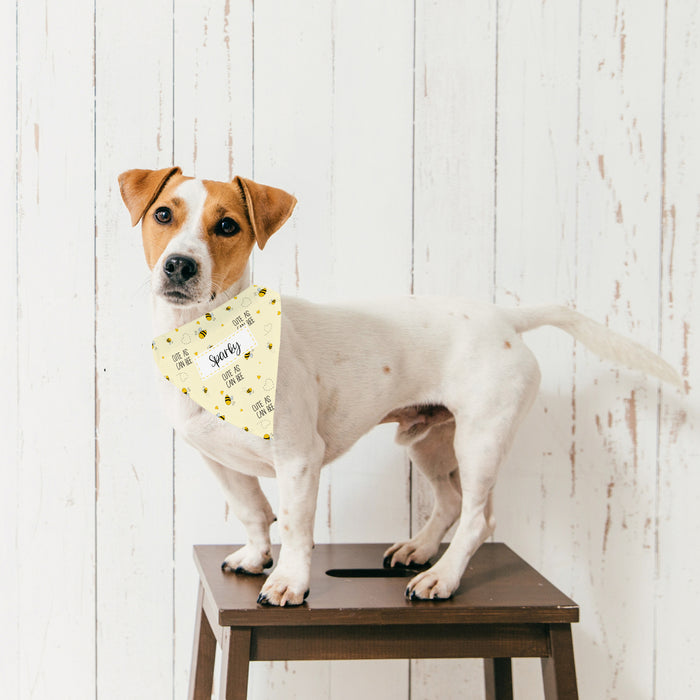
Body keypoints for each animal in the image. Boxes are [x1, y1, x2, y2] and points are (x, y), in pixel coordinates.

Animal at [117, 167, 680, 604]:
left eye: (228, 225)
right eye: (163, 215)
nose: (180, 265)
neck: (207, 343)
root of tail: (505, 318)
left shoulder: (299, 459)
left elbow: (296, 526)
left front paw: (290, 582)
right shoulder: (218, 459)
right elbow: (254, 512)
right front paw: (256, 557)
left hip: (479, 441)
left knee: (477, 519)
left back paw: (441, 577)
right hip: (429, 441)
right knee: (450, 503)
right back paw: (419, 549)